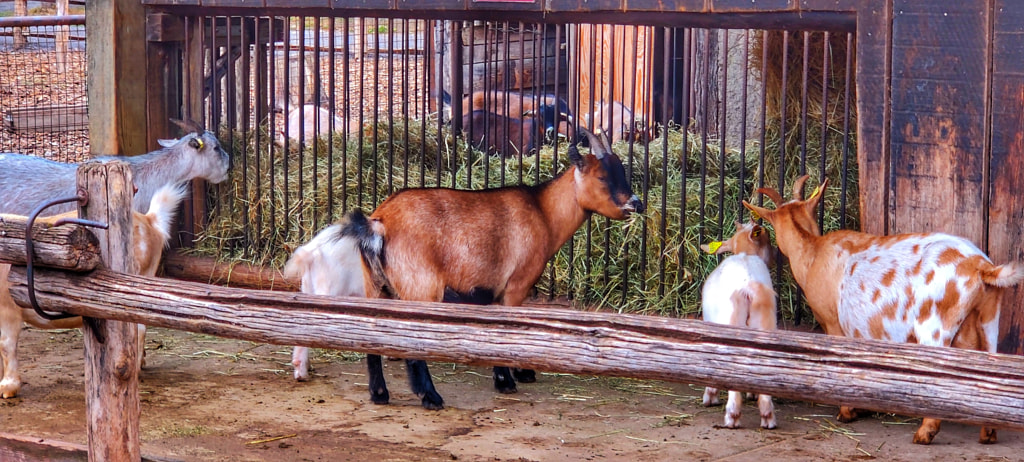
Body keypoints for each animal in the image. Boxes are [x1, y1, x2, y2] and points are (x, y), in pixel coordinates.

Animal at [337, 126, 638, 409]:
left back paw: (379, 394)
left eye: (622, 170)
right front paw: (509, 380)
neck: (543, 212)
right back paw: (431, 396)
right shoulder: (516, 285)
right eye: (602, 177)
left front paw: (517, 374)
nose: (636, 203)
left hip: (377, 287)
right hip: (421, 288)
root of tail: (380, 223)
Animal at [745, 175, 1024, 446]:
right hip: (987, 320)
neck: (812, 251)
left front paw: (846, 412)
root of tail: (980, 267)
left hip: (934, 328)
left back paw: (925, 433)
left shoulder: (833, 323)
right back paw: (988, 433)